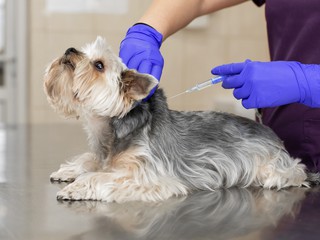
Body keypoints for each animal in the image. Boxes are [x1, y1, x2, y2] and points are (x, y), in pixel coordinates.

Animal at [43, 36, 318, 202]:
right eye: (81, 49)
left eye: (98, 65)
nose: (69, 50)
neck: (110, 130)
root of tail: (272, 136)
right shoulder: (103, 155)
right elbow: (90, 160)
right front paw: (69, 170)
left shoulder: (148, 175)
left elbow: (100, 176)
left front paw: (77, 186)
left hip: (274, 167)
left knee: (293, 173)